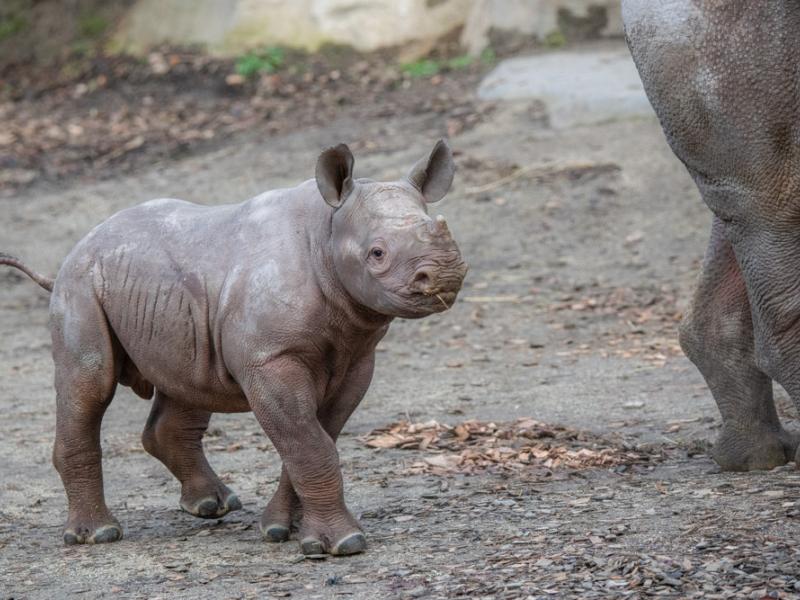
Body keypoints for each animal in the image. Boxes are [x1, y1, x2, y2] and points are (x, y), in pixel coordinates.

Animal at [0, 141, 466, 552]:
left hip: (167, 294)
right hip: (81, 283)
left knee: (188, 381)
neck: (327, 232)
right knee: (89, 385)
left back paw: (212, 506)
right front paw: (341, 544)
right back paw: (97, 535)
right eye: (377, 254)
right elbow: (310, 445)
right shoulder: (269, 358)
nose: (445, 274)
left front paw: (282, 529)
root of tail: (76, 249)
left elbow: (314, 440)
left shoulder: (356, 358)